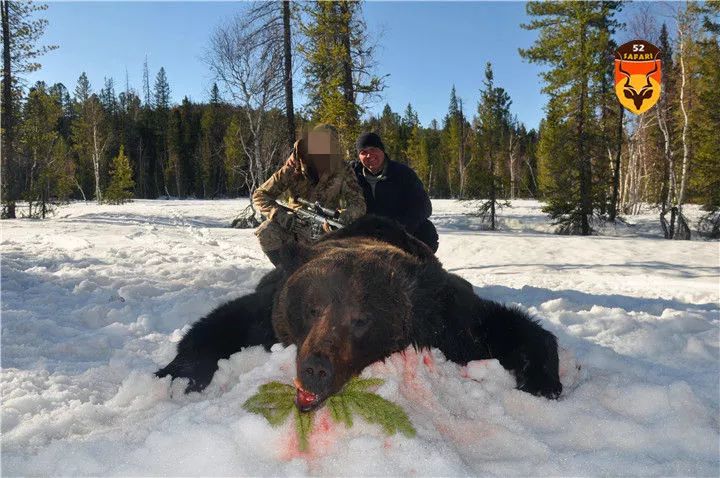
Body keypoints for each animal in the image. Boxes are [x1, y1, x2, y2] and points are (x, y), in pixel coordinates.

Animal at [158, 216, 564, 408]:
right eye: (312, 308)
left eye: (361, 319)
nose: (316, 368)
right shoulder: (268, 311)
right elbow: (217, 325)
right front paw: (177, 376)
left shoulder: (445, 318)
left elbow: (501, 327)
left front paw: (541, 380)